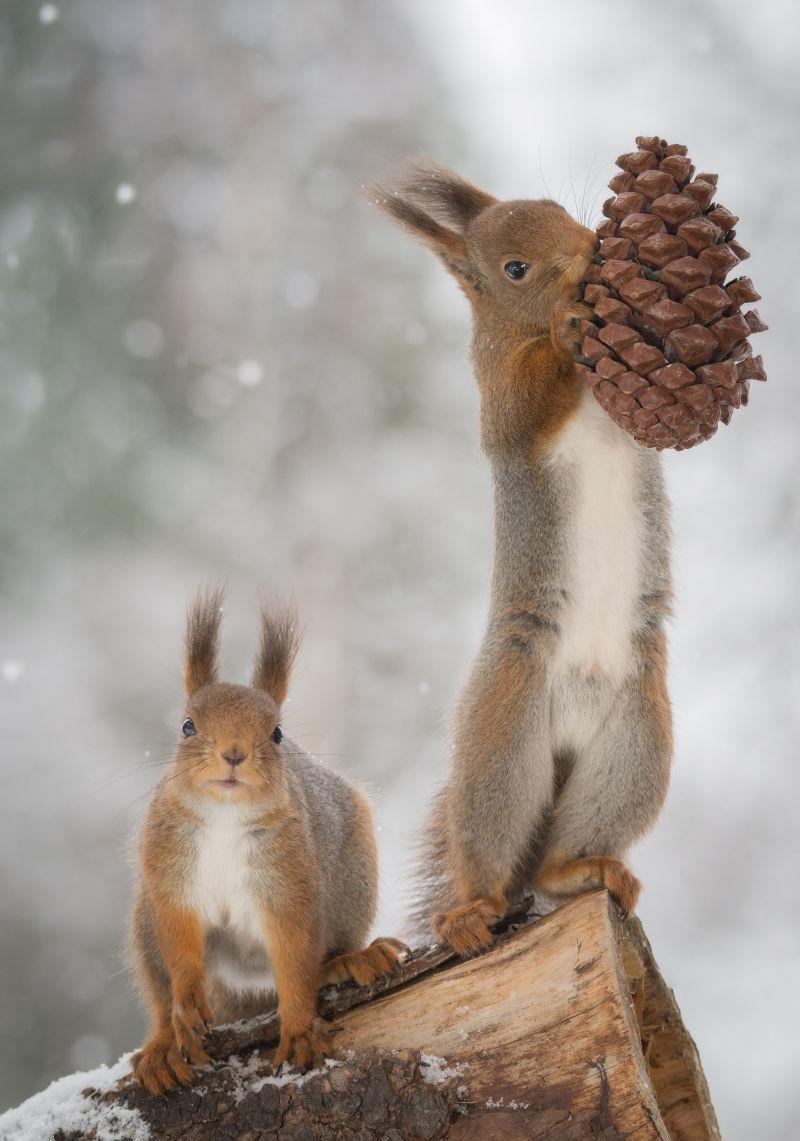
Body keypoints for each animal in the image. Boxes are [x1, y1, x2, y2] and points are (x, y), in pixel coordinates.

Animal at [131, 588, 408, 1095]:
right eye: (187, 726)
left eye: (277, 733)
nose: (234, 753)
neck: (224, 816)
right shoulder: (170, 876)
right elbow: (180, 943)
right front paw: (187, 1002)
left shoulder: (288, 882)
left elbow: (296, 958)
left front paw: (298, 1030)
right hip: (143, 924)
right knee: (160, 995)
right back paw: (163, 1047)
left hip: (352, 884)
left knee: (319, 958)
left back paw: (351, 960)